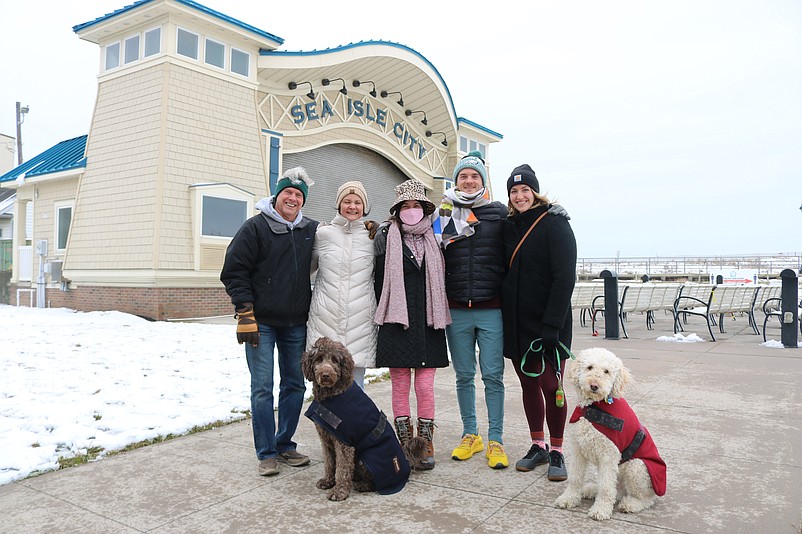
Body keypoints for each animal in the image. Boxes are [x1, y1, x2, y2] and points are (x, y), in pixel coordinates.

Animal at [300, 340, 424, 502]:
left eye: (335, 360)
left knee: (373, 482)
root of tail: (406, 464)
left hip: (365, 458)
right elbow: (329, 462)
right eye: (319, 359)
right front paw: (327, 481)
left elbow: (342, 468)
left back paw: (361, 485)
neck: (332, 394)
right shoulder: (325, 437)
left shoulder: (344, 442)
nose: (325, 375)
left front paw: (339, 491)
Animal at [552, 348, 664, 524]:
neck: (595, 407)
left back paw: (630, 504)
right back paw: (592, 489)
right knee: (616, 490)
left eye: (606, 371)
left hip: (637, 467)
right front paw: (568, 499)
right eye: (589, 367)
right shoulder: (578, 450)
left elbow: (605, 488)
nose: (594, 386)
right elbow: (575, 478)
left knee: (646, 499)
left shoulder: (609, 456)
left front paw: (600, 510)